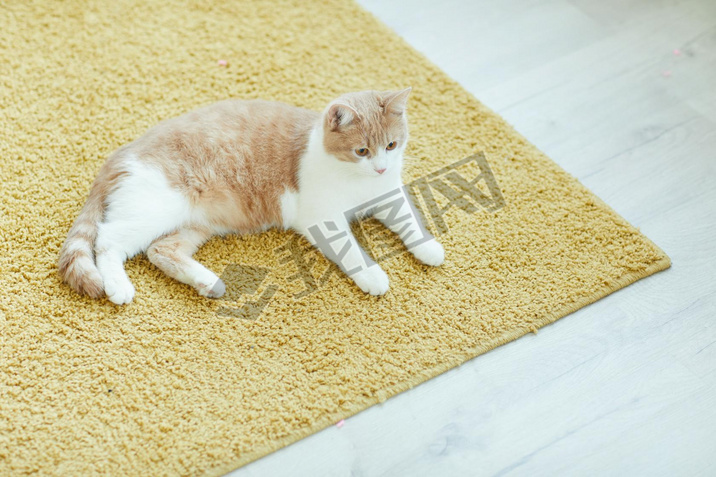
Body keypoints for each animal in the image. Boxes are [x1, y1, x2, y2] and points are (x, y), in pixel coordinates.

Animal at [58, 88, 444, 304]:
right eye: (362, 151)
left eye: (391, 145)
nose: (380, 167)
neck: (359, 183)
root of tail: (122, 153)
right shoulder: (323, 220)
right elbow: (351, 250)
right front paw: (373, 275)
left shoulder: (389, 194)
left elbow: (409, 218)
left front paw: (428, 247)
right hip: (155, 210)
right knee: (108, 240)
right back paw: (118, 287)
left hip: (196, 224)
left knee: (160, 250)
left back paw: (209, 283)